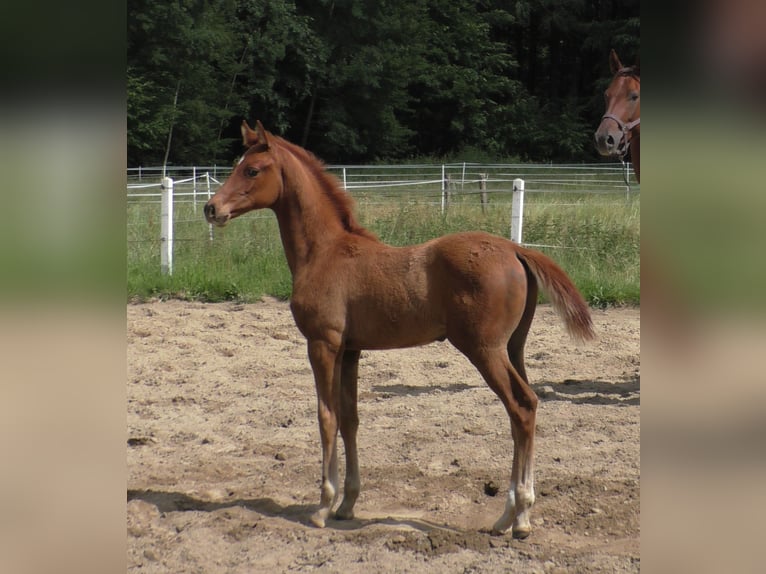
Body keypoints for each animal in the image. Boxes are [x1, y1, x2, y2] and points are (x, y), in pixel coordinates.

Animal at [202, 121, 592, 540]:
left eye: (252, 170)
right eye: (237, 164)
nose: (212, 208)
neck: (324, 253)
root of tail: (516, 249)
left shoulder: (322, 344)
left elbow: (326, 417)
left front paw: (323, 505)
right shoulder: (351, 351)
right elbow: (350, 417)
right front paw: (348, 503)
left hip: (484, 349)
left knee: (521, 407)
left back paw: (519, 517)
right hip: (513, 348)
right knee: (525, 407)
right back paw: (509, 515)